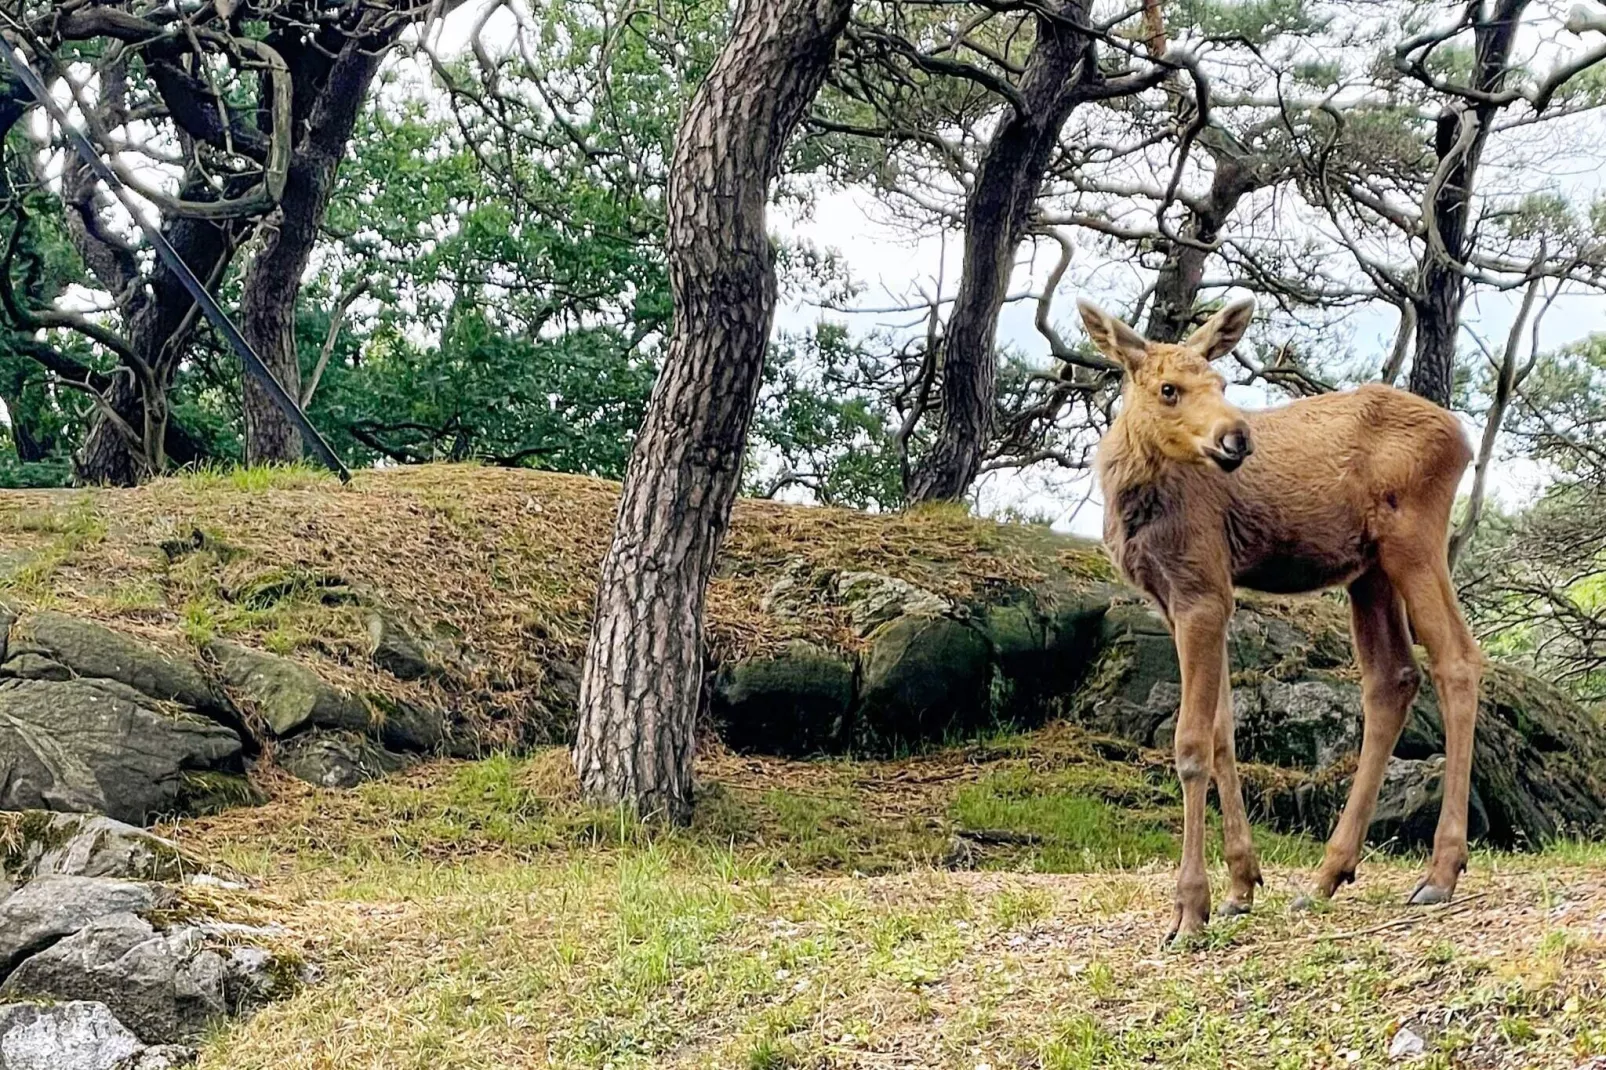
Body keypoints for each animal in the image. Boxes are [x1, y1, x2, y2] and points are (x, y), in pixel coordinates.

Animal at [1085, 295, 1483, 938]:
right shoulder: (1177, 601)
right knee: (1392, 679)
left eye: (1222, 382)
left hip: (1413, 539)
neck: (1133, 499)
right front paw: (1241, 885)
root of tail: (1464, 440)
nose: (1236, 437)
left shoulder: (1202, 589)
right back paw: (1327, 875)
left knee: (1457, 660)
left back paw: (1440, 872)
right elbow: (1223, 734)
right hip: (1368, 570)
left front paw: (1189, 909)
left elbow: (1190, 745)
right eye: (1169, 388)